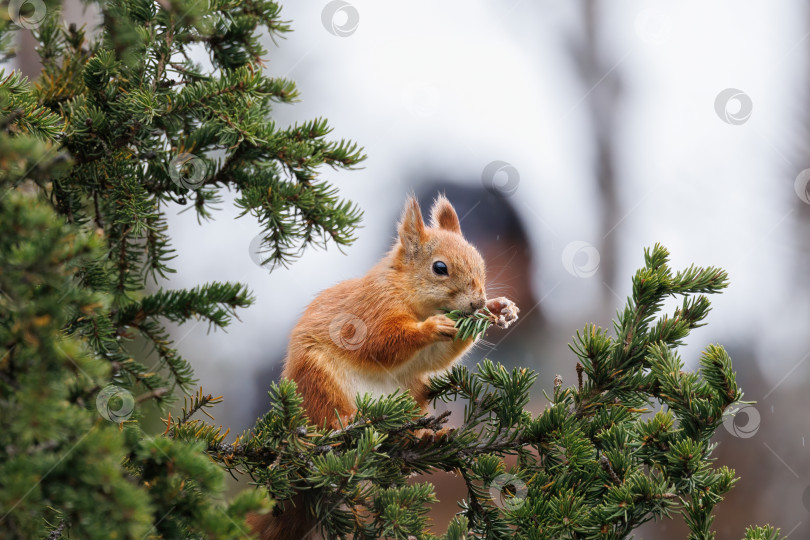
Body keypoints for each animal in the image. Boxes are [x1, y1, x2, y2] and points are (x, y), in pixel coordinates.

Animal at [246, 196, 520, 536]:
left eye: (481, 263)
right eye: (440, 268)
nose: (477, 302)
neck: (410, 296)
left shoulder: (423, 359)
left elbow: (437, 357)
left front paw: (499, 309)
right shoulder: (369, 313)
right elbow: (383, 342)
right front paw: (432, 327)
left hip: (412, 393)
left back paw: (423, 436)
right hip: (318, 377)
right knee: (328, 418)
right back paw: (348, 423)